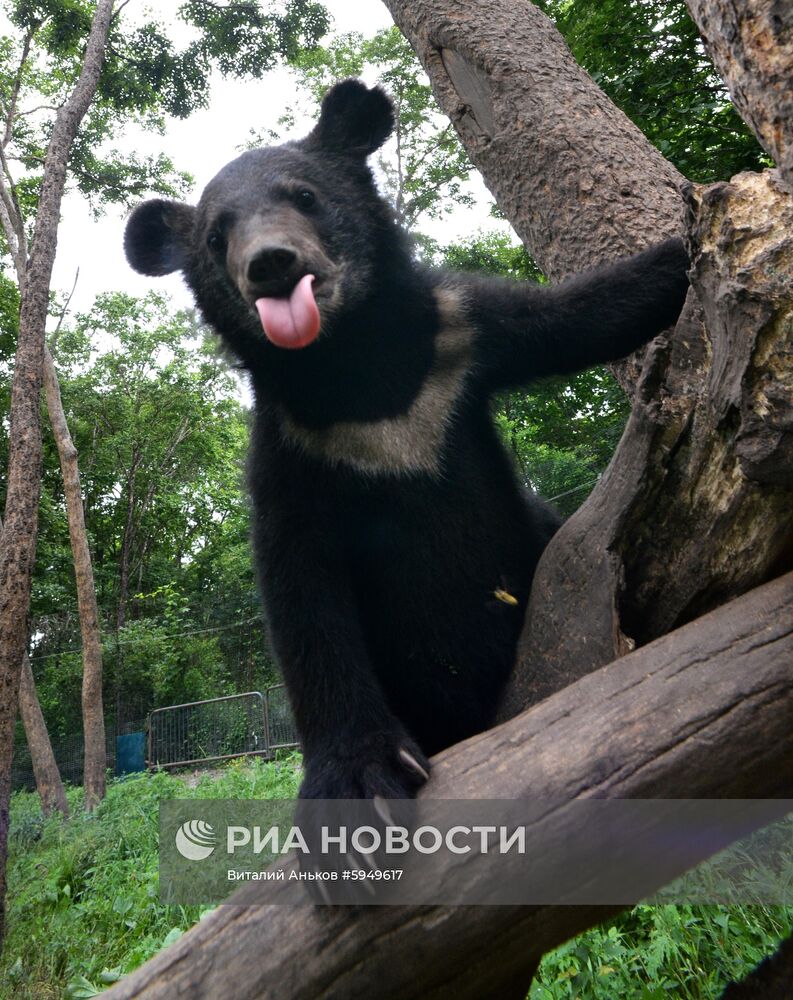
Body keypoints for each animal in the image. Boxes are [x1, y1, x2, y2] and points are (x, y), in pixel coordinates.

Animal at [124, 82, 688, 804]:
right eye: (218, 236)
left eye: (305, 196)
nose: (270, 264)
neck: (355, 366)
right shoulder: (293, 449)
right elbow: (301, 589)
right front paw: (359, 775)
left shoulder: (462, 330)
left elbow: (585, 314)